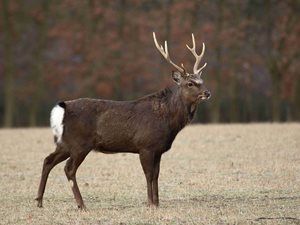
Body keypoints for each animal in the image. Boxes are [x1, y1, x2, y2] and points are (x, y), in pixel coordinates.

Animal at [35, 32, 210, 210]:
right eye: (190, 83)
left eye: (202, 81)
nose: (207, 93)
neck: (168, 122)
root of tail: (64, 107)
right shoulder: (145, 146)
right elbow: (149, 175)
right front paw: (150, 204)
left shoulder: (158, 149)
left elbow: (156, 175)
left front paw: (157, 203)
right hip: (80, 143)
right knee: (69, 169)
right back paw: (81, 205)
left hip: (66, 143)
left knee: (48, 160)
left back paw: (39, 201)